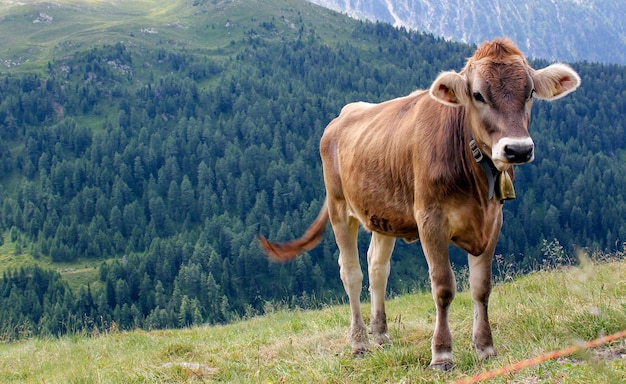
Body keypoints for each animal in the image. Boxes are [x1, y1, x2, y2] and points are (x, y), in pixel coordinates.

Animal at [256, 38, 576, 368]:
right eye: (478, 95)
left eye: (530, 93)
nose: (517, 150)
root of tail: (342, 115)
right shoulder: (430, 219)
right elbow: (444, 286)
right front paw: (442, 353)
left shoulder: (493, 219)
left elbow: (482, 287)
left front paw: (485, 347)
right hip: (339, 207)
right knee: (351, 272)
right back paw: (359, 342)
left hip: (383, 214)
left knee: (377, 268)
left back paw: (381, 335)